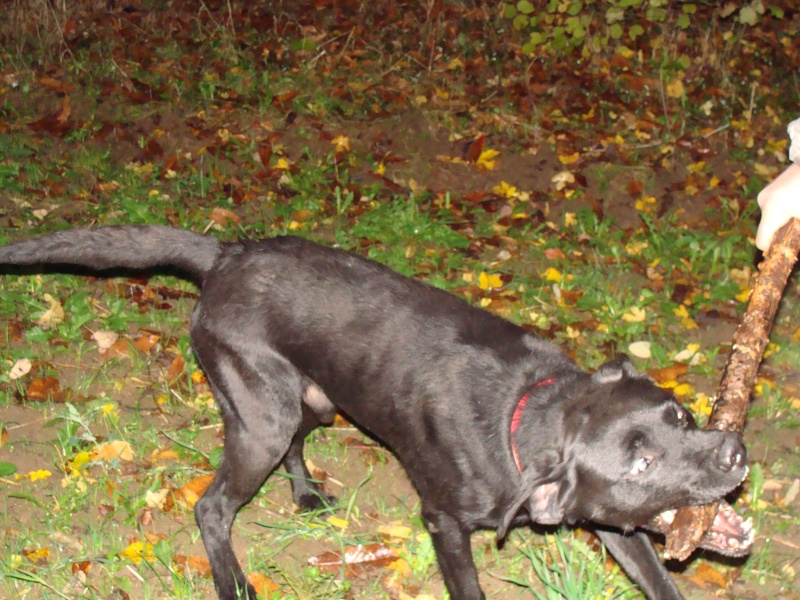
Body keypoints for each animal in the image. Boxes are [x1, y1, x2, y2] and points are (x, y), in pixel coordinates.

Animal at [1, 226, 752, 600]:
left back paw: (305, 495)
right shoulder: (444, 522)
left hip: (311, 403)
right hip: (261, 416)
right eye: (638, 463)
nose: (734, 451)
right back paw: (233, 583)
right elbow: (469, 588)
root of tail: (227, 252)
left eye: (680, 417)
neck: (527, 414)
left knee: (294, 448)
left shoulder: (615, 527)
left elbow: (662, 583)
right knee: (211, 507)